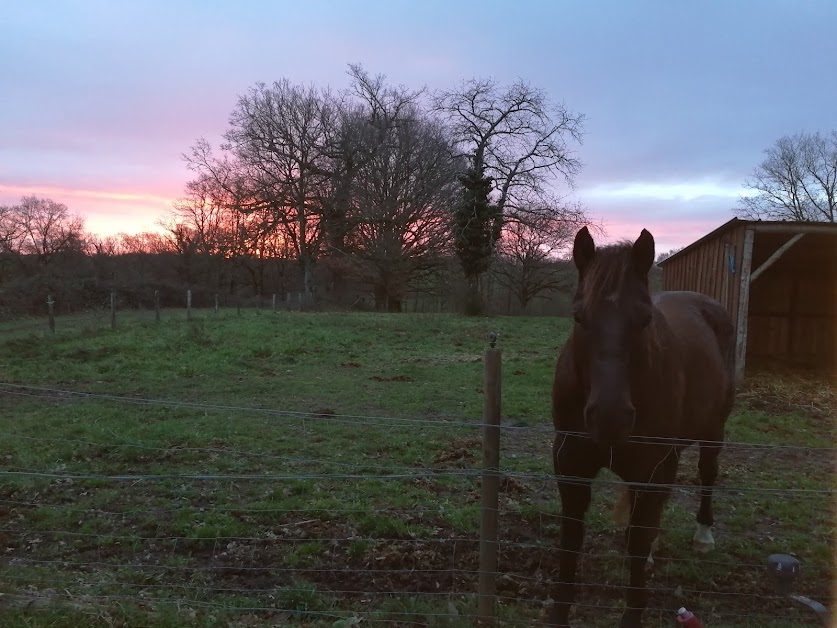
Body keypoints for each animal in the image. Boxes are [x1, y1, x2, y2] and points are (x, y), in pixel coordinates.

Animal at [544, 227, 732, 628]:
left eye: (645, 320)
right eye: (579, 318)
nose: (609, 417)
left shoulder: (651, 468)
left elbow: (636, 542)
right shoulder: (570, 464)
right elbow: (572, 537)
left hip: (711, 433)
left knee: (707, 474)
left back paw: (703, 535)